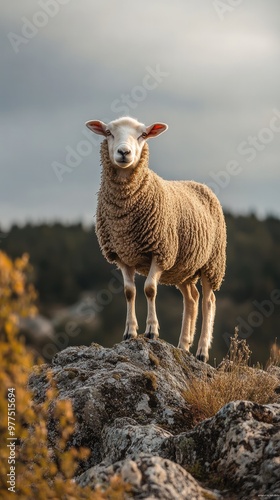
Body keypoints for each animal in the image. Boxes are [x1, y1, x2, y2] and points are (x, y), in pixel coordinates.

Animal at [86, 115, 228, 362]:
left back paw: (202, 352)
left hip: (212, 263)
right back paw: (183, 345)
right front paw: (130, 332)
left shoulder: (160, 252)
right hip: (183, 268)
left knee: (208, 302)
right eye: (109, 133)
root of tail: (197, 183)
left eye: (142, 135)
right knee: (191, 299)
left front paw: (152, 330)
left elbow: (150, 289)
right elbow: (130, 292)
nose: (124, 152)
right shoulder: (123, 256)